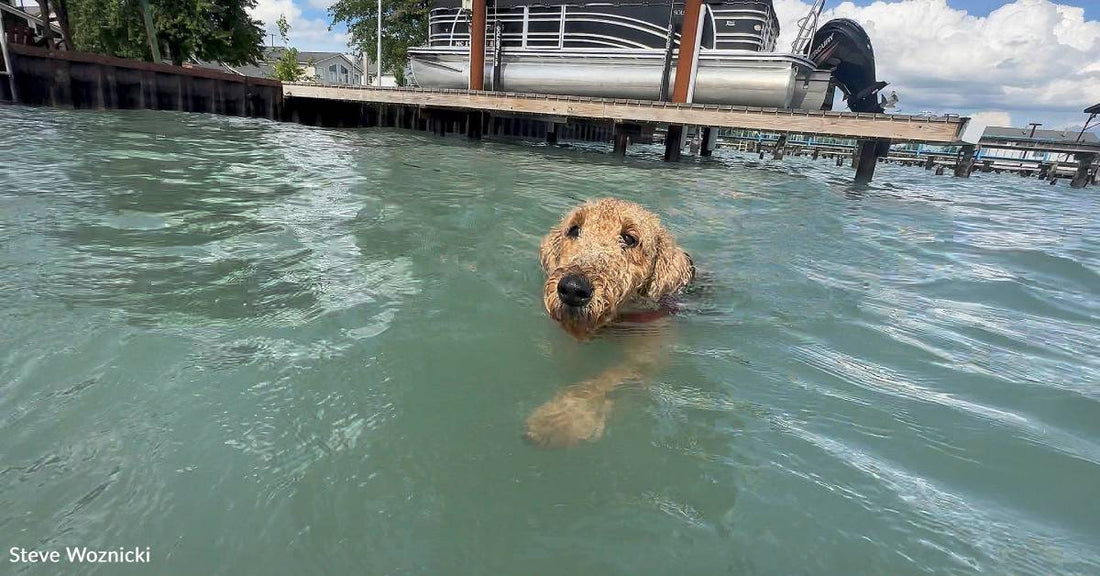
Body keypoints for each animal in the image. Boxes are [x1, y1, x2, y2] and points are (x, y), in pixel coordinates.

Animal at [525, 200, 695, 448]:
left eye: (630, 238)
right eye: (574, 229)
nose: (573, 288)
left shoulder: (649, 354)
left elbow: (605, 379)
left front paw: (565, 417)